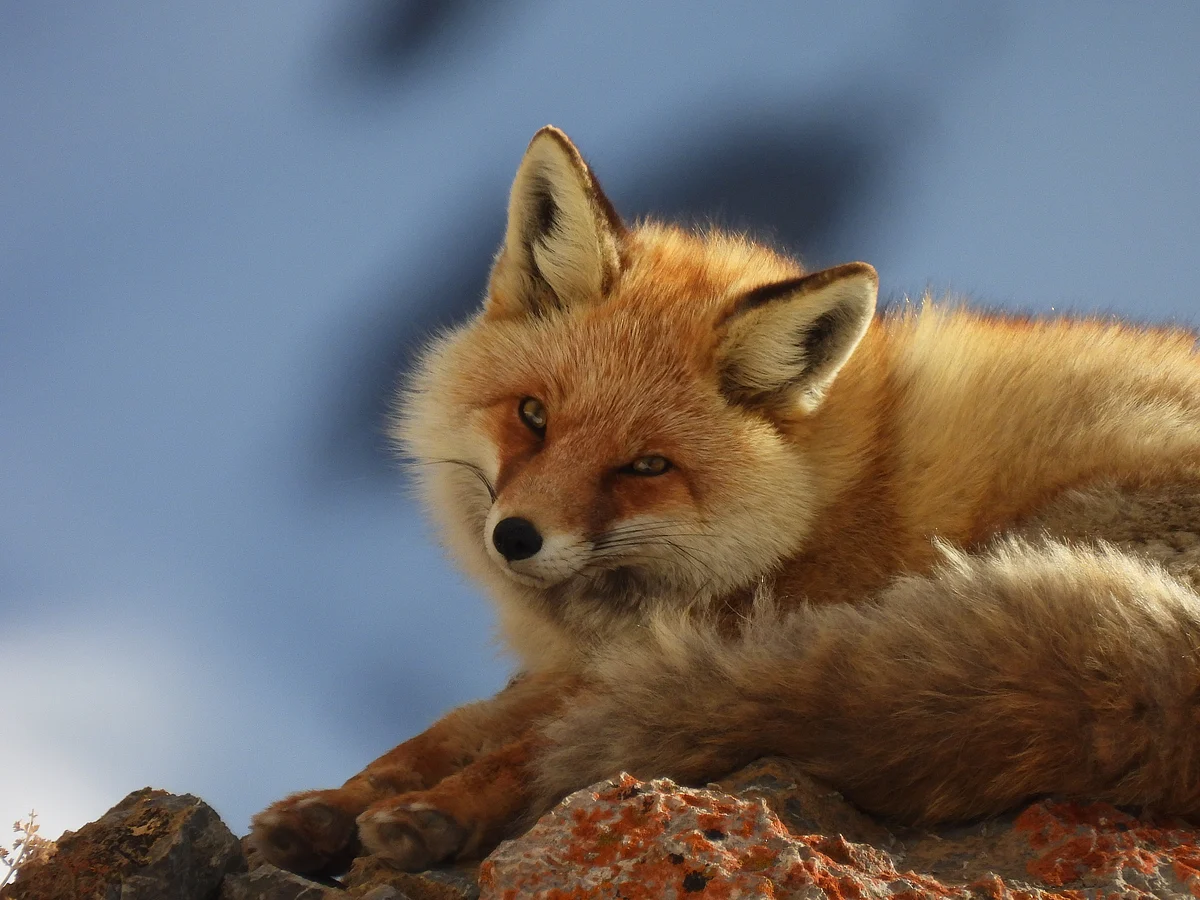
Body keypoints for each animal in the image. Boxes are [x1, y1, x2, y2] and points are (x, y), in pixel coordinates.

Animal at [251, 126, 1200, 875]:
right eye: (533, 416)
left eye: (645, 465)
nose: (514, 538)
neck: (827, 493)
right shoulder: (581, 660)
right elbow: (445, 729)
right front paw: (331, 806)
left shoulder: (655, 651)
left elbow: (525, 746)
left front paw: (439, 811)